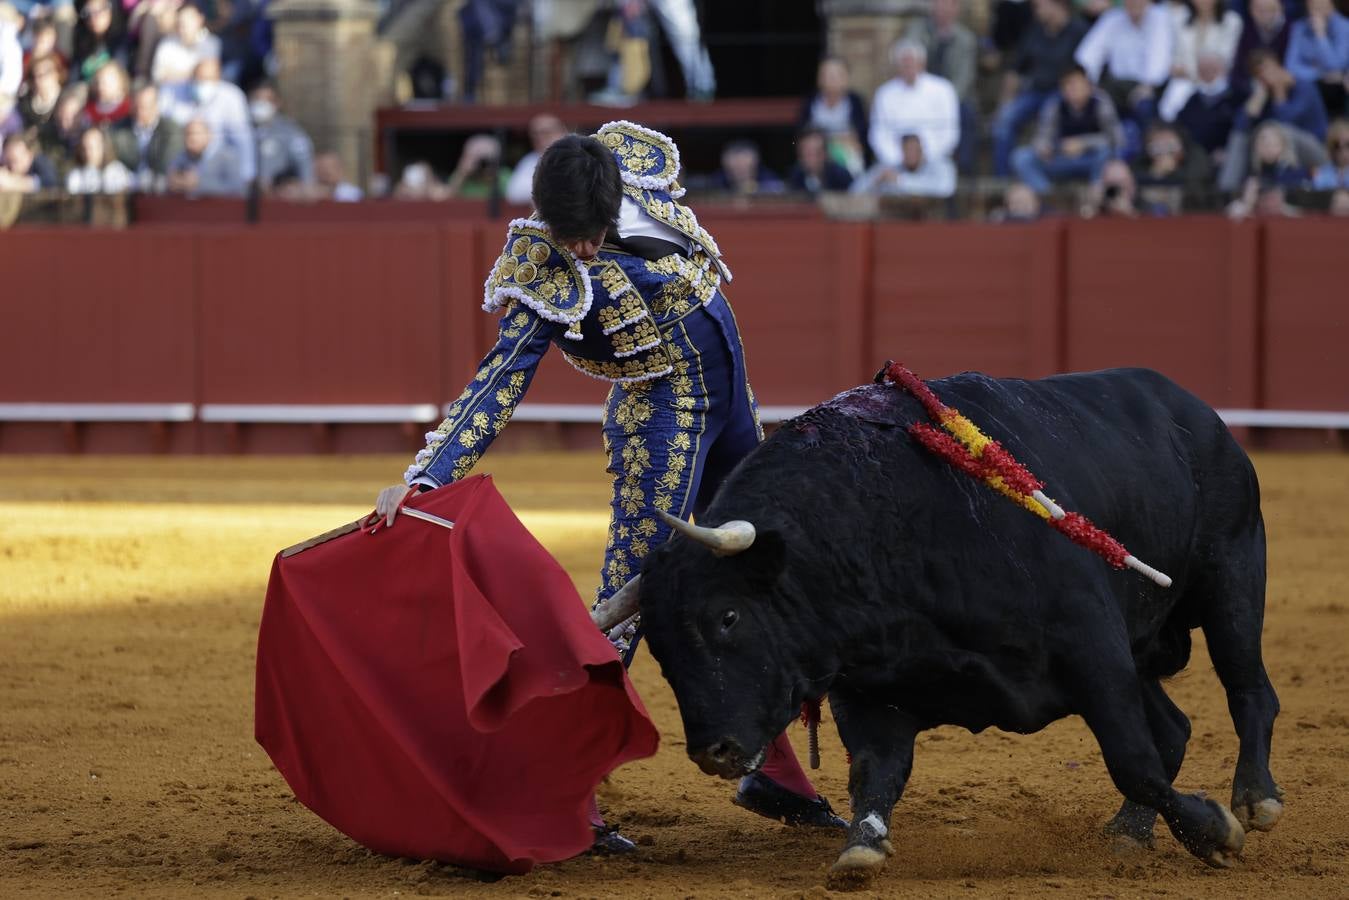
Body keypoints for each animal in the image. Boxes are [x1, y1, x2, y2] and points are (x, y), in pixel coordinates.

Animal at [636, 367, 1278, 885]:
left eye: (727, 616)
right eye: (659, 650)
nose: (713, 751)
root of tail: (1193, 410)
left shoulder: (1094, 651)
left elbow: (1133, 761)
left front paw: (1216, 834)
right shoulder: (867, 685)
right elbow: (876, 773)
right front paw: (861, 850)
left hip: (1233, 572)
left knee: (1248, 690)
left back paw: (1255, 800)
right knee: (1175, 727)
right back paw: (1129, 832)